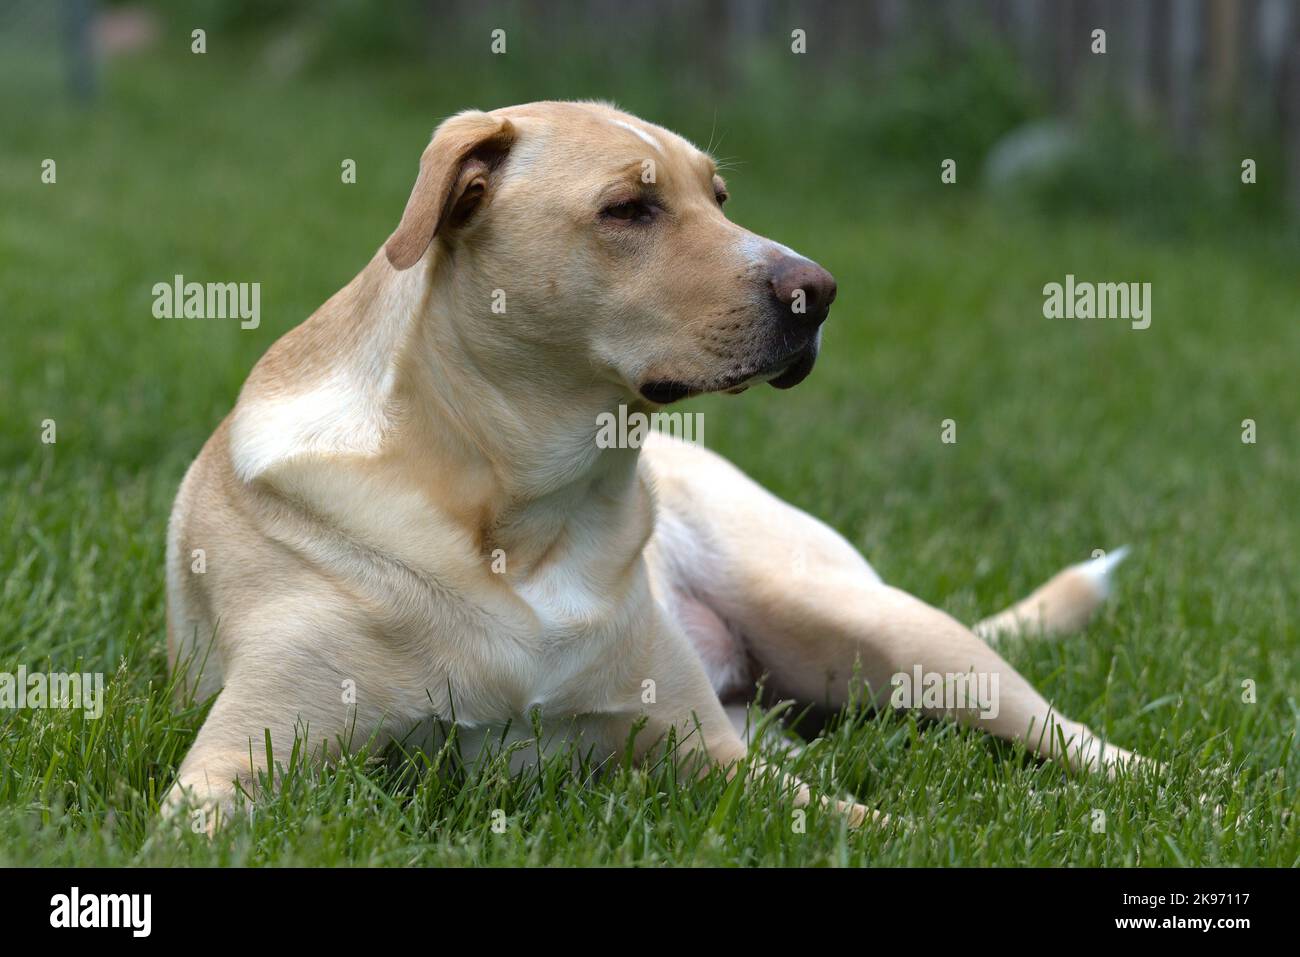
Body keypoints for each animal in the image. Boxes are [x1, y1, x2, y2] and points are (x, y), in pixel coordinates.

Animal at [165, 100, 1149, 826]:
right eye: (628, 209)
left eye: (720, 196)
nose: (821, 292)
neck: (530, 512)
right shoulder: (229, 767)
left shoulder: (717, 759)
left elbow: (872, 824)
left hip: (878, 627)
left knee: (1080, 741)